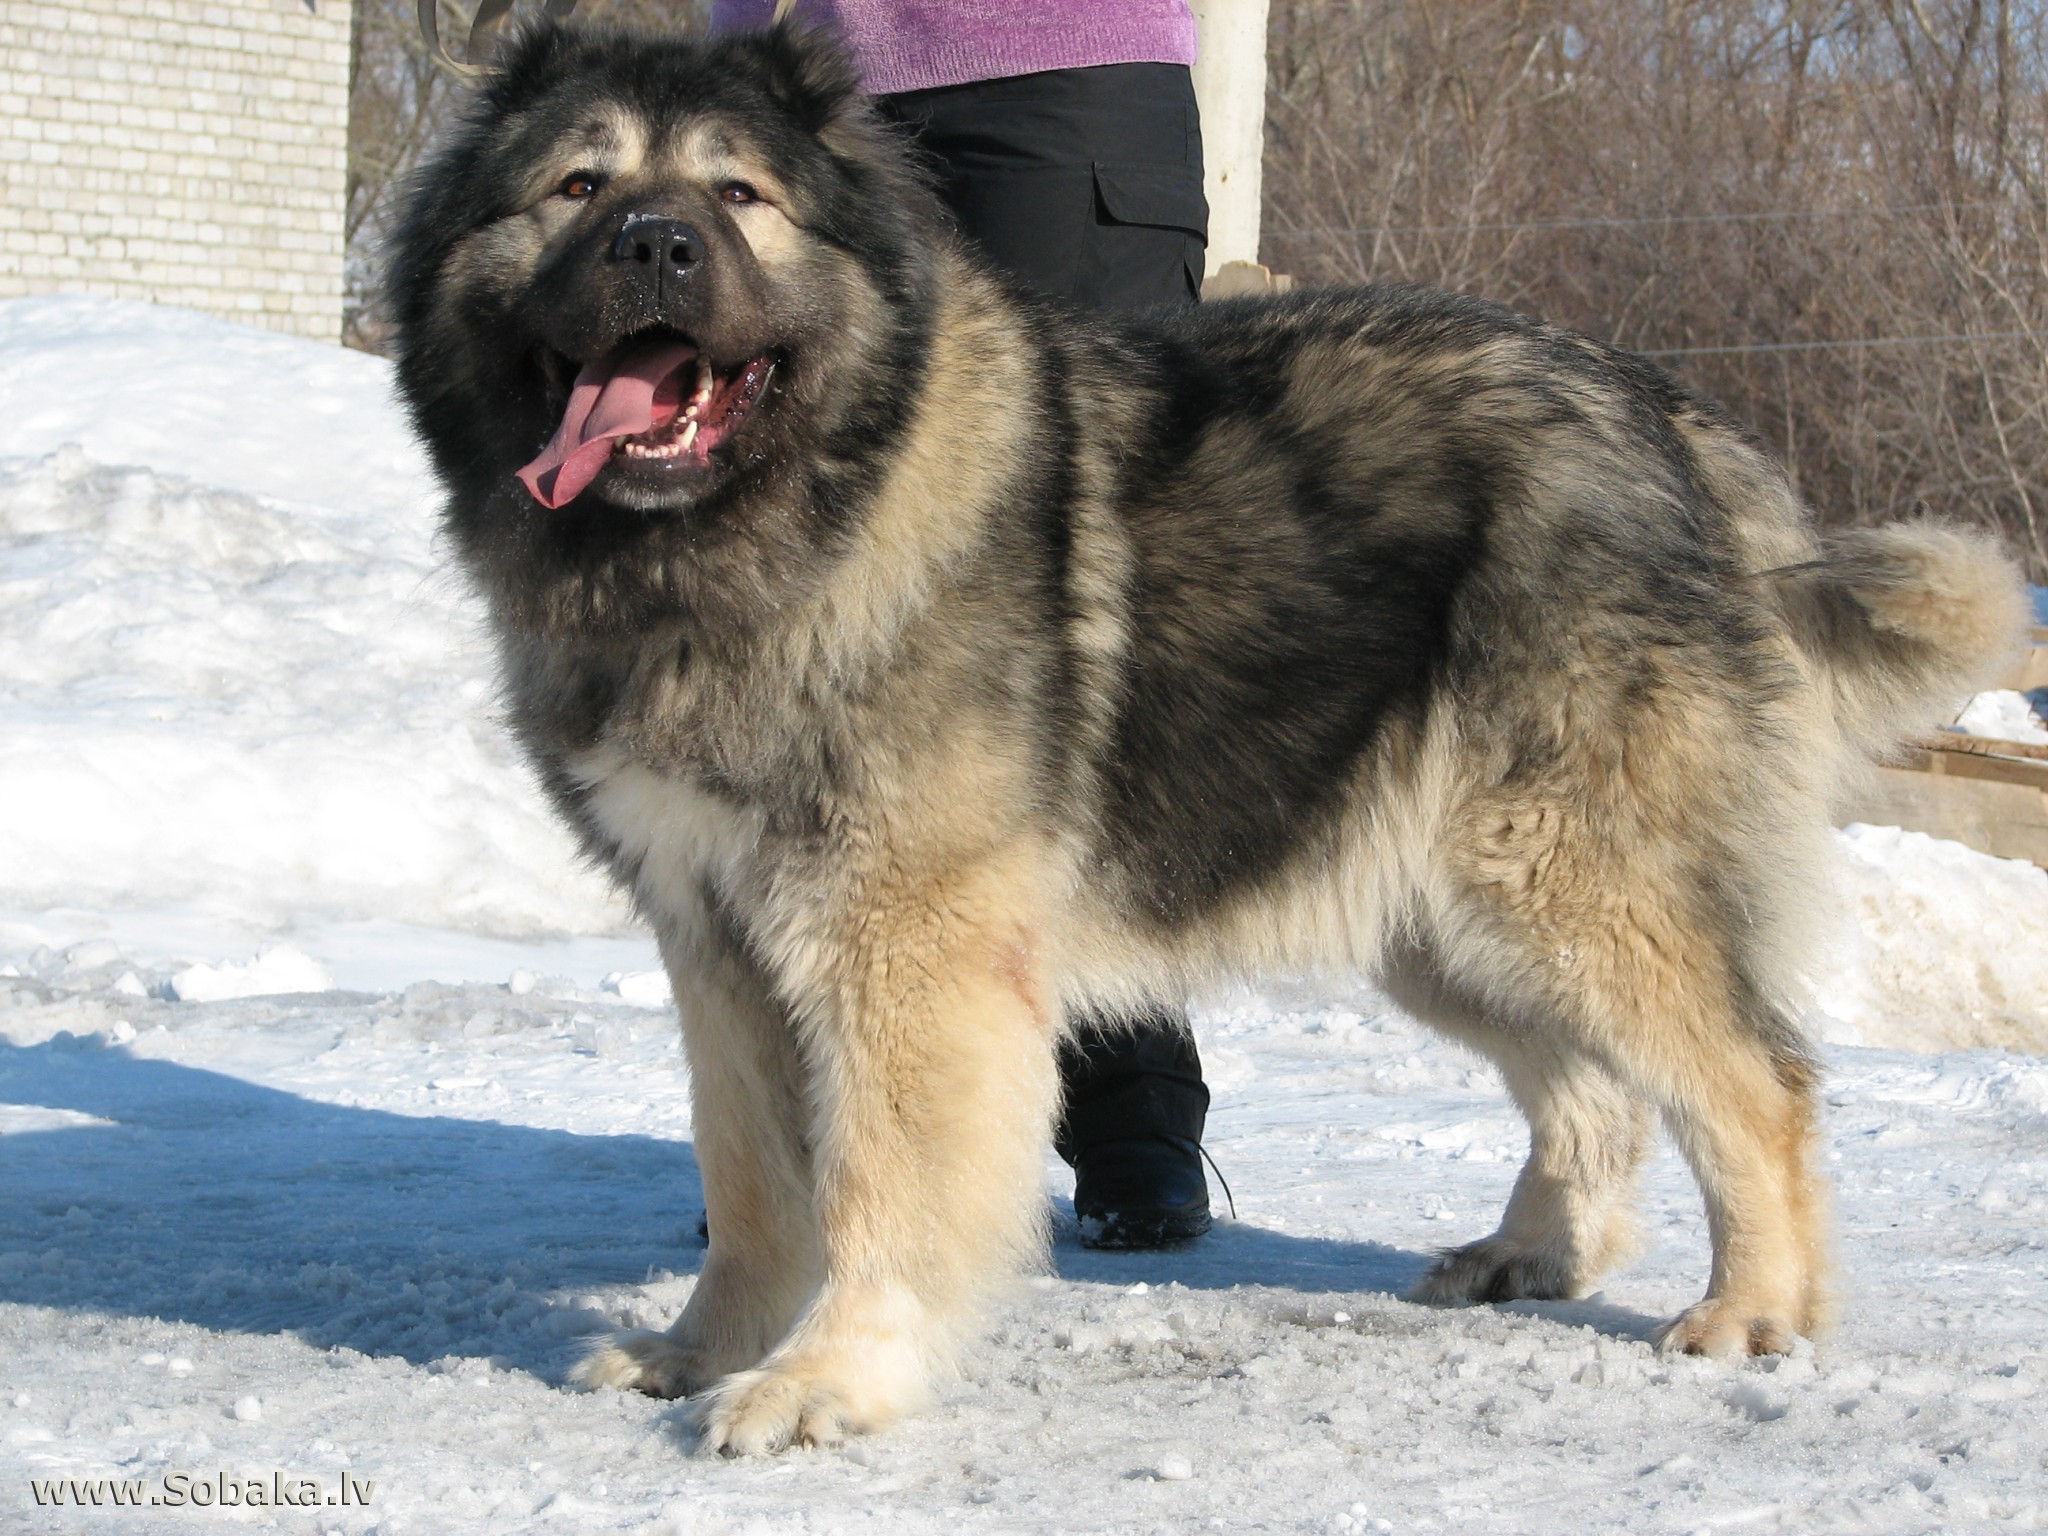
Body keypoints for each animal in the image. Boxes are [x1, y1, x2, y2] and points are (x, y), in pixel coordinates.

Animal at [391, 20, 2023, 1458]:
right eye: (577, 188)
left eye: (737, 197)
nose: (655, 249)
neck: (767, 531)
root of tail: (1665, 415)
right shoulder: (715, 935)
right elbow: (749, 1181)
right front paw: (703, 1348)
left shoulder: (897, 941)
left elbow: (882, 1184)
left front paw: (830, 1380)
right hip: (1438, 908)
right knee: (1595, 1088)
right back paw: (1534, 1255)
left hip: (1555, 871)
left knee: (1755, 1081)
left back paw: (1754, 1309)